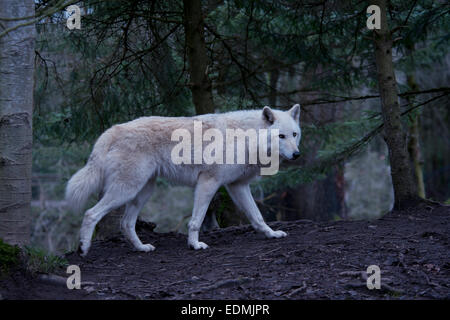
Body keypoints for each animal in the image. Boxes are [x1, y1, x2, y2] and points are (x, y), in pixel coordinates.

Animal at [65, 104, 300, 256]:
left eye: (295, 134)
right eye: (281, 136)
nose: (297, 154)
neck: (247, 137)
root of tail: (114, 129)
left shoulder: (238, 186)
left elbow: (257, 216)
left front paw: (271, 234)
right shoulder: (208, 182)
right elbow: (196, 221)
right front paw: (194, 245)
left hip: (142, 193)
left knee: (125, 223)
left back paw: (141, 248)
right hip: (126, 190)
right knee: (90, 213)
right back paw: (83, 248)